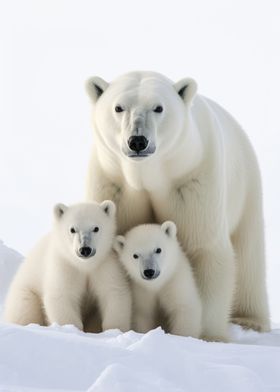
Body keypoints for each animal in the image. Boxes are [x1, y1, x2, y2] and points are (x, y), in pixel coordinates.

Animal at [4, 201, 131, 332]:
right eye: (72, 229)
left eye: (96, 228)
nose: (85, 249)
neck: (84, 265)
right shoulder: (65, 264)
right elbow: (61, 295)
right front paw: (71, 329)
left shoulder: (104, 263)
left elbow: (113, 291)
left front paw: (114, 329)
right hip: (26, 293)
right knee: (24, 312)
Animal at [85, 72, 270, 342]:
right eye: (118, 107)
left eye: (158, 107)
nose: (137, 141)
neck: (148, 174)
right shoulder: (113, 183)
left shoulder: (192, 181)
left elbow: (204, 247)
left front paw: (208, 335)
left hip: (246, 186)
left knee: (248, 252)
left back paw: (248, 321)